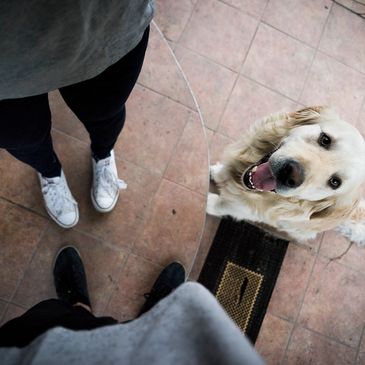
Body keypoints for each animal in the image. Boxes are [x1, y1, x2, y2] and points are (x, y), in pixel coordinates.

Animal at [206, 106, 364, 246]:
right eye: (325, 140)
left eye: (335, 182)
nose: (290, 174)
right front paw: (215, 172)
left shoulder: (239, 209)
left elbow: (220, 206)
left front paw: (208, 202)